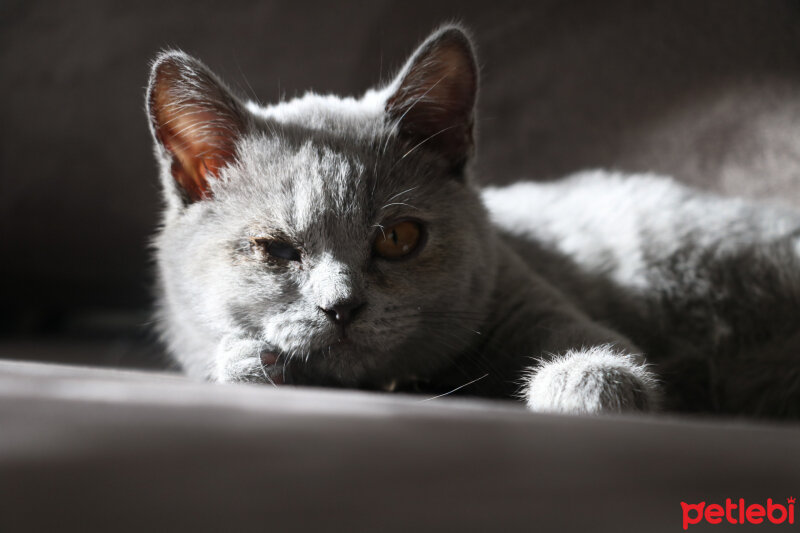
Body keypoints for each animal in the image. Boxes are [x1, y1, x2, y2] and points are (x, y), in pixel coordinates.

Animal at [147, 23, 800, 416]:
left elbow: (601, 357)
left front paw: (588, 390)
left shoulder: (529, 299)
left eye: (399, 237)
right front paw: (251, 362)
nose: (342, 306)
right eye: (275, 249)